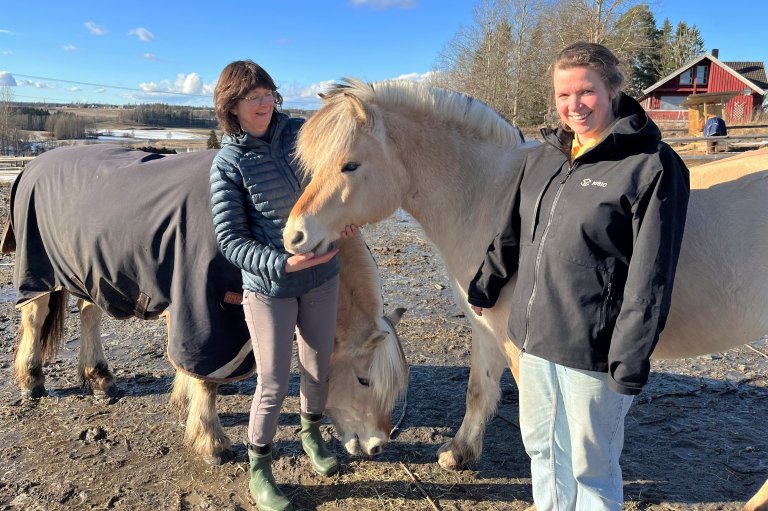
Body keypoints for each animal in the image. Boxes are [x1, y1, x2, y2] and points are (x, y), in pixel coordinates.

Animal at [3, 142, 408, 466]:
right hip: (39, 268)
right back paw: (32, 381)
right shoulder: (203, 306)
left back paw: (100, 379)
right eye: (363, 379)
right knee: (35, 317)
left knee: (89, 315)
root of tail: (32, 165)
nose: (377, 446)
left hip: (89, 271)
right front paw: (211, 441)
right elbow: (204, 378)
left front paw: (186, 398)